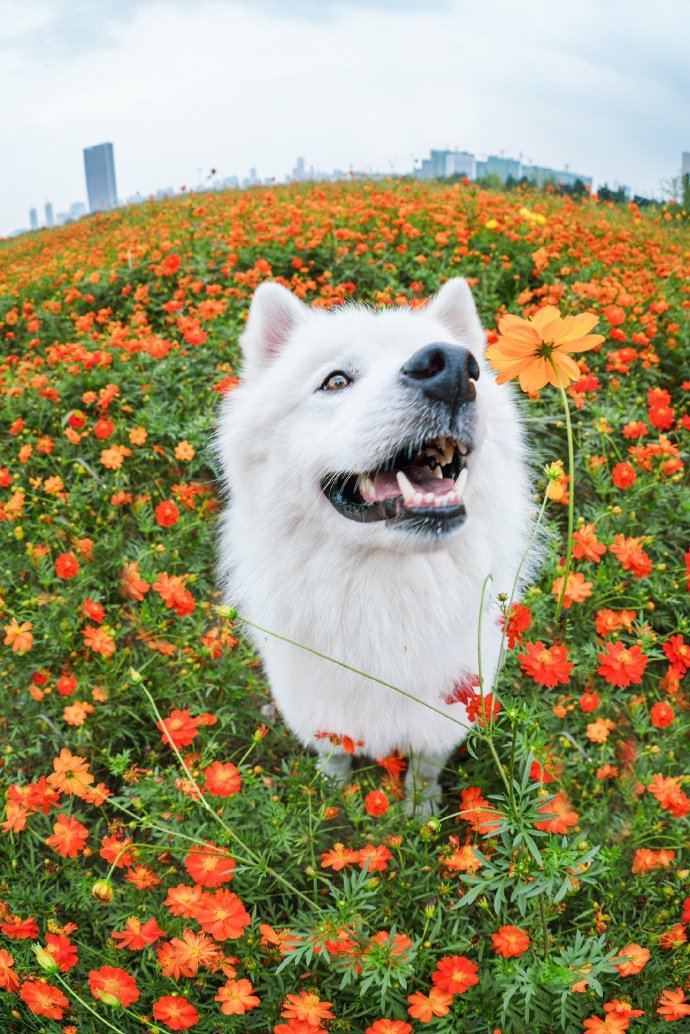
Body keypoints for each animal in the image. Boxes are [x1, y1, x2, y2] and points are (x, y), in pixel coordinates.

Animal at [218, 279, 533, 810]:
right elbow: (335, 754)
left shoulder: (445, 715)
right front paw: (332, 792)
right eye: (335, 381)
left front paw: (420, 810)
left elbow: (425, 768)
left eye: (470, 368)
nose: (453, 368)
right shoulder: (319, 711)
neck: (387, 595)